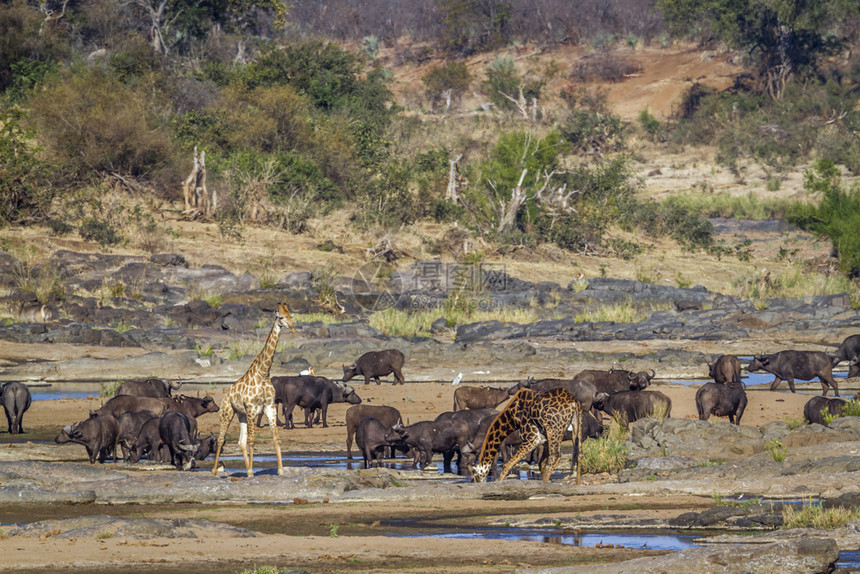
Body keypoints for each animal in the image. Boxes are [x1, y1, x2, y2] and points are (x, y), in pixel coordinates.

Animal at [212, 304, 296, 480]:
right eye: (281, 317)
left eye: (290, 316)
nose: (292, 328)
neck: (263, 373)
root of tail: (226, 394)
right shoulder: (251, 408)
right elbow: (252, 440)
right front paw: (251, 472)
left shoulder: (269, 407)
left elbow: (276, 438)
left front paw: (280, 470)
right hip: (227, 412)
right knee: (221, 439)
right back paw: (214, 471)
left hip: (241, 414)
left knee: (240, 441)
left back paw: (246, 469)